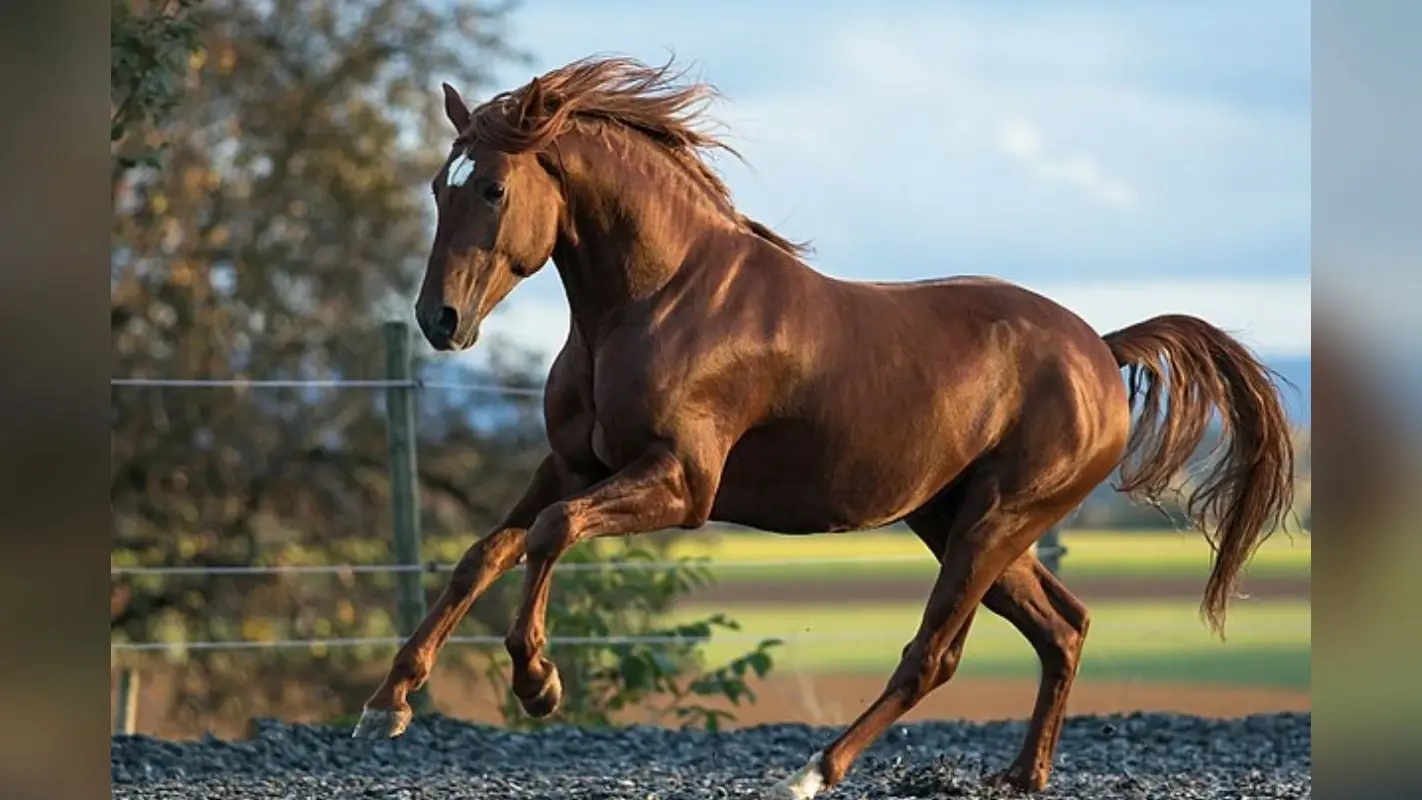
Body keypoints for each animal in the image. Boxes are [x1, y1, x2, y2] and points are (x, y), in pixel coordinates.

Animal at [352, 55, 1296, 797]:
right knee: (1062, 628)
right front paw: (386, 704)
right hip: (958, 519)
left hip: (994, 521)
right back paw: (1021, 777)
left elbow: (549, 534)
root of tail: (1101, 349)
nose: (439, 319)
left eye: (494, 188)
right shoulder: (571, 464)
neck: (655, 301)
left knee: (935, 655)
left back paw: (811, 772)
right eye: (438, 186)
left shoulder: (681, 484)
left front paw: (539, 684)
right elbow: (484, 553)